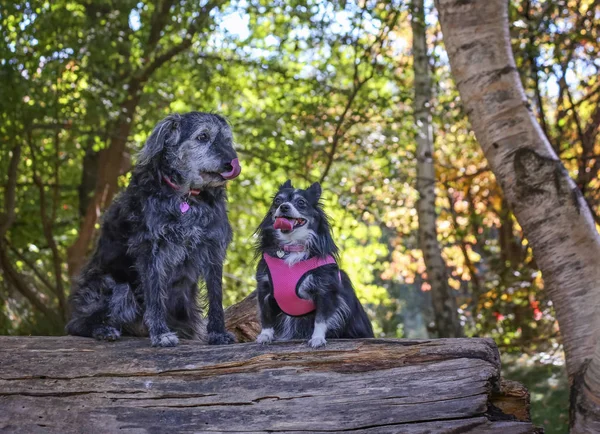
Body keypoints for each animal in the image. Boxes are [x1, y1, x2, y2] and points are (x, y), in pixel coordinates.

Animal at [66, 111, 241, 346]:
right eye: (203, 136)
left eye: (227, 139)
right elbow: (155, 295)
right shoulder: (151, 250)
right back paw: (103, 329)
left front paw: (218, 332)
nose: (232, 162)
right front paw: (160, 333)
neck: (186, 198)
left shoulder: (213, 249)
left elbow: (216, 296)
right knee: (76, 324)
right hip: (114, 286)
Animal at [254, 181, 376, 348]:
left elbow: (320, 319)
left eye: (301, 203)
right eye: (277, 201)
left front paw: (317, 338)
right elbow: (266, 316)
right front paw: (265, 335)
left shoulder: (324, 291)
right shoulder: (265, 289)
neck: (292, 247)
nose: (284, 207)